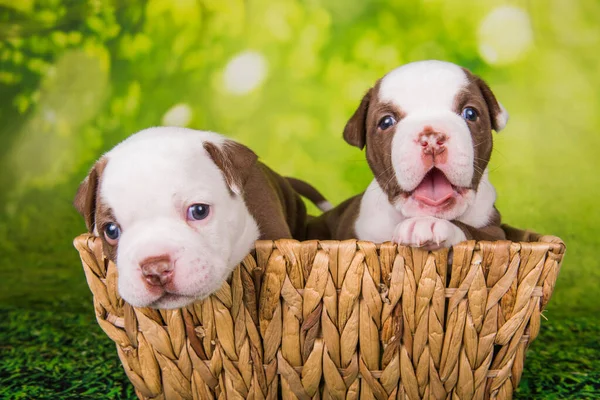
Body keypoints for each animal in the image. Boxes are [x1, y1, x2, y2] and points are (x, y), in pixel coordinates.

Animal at [308, 59, 508, 248]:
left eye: (470, 113)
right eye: (386, 122)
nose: (432, 138)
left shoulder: (496, 231)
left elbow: (473, 232)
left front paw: (429, 224)